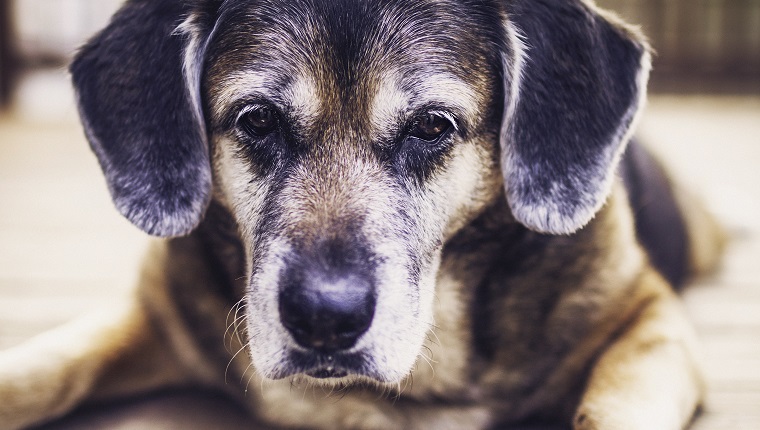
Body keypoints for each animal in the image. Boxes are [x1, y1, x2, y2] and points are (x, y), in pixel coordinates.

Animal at [0, 0, 724, 428]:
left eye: (432, 126)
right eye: (256, 120)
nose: (325, 317)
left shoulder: (650, 319)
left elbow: (611, 407)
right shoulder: (156, 312)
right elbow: (42, 369)